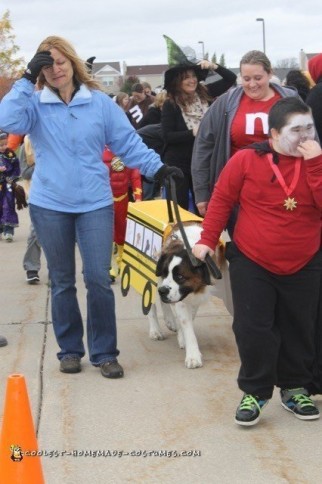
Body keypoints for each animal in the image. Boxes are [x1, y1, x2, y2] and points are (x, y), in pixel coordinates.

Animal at [147, 225, 233, 368]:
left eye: (180, 277)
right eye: (165, 273)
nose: (163, 290)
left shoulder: (192, 295)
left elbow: (189, 318)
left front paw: (182, 337)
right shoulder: (180, 297)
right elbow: (187, 326)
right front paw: (193, 355)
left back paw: (170, 320)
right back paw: (155, 330)